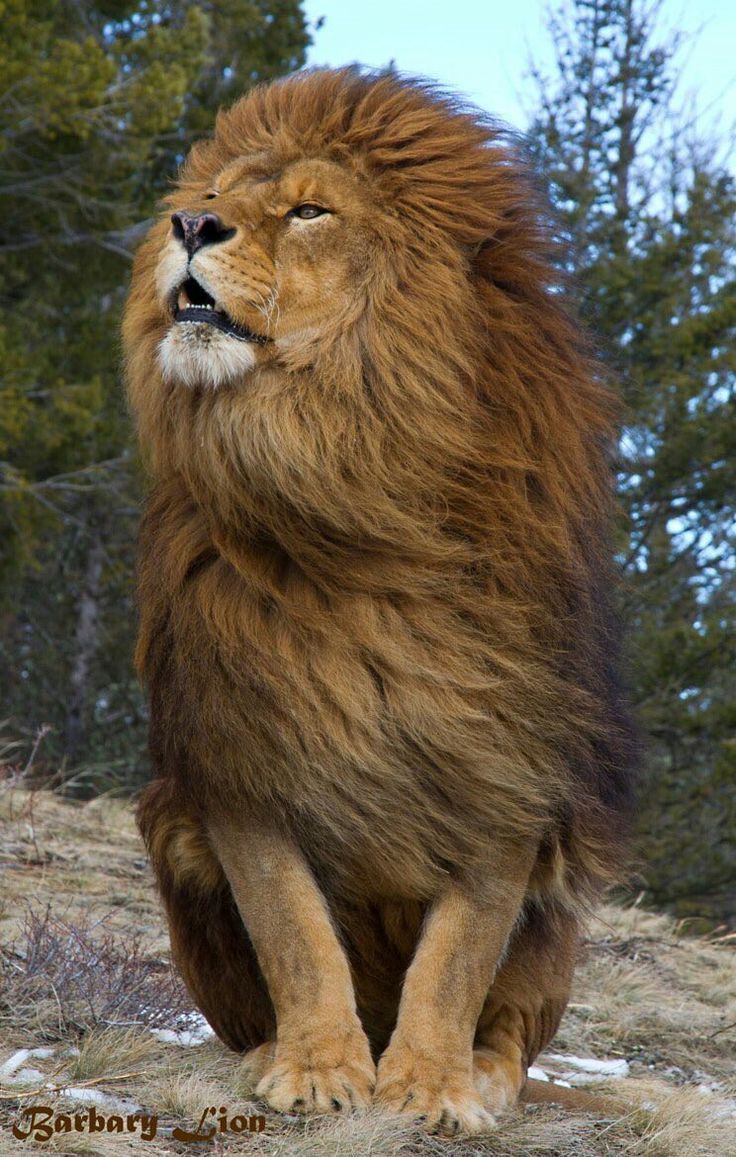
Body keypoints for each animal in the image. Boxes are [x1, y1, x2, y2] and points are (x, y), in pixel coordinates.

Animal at [123, 68, 636, 1135]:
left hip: (565, 892)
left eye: (309, 211)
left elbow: (458, 955)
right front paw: (320, 1070)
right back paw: (265, 1050)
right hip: (167, 820)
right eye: (217, 194)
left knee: (513, 1030)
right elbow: (294, 930)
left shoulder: (507, 765)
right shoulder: (237, 750)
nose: (187, 222)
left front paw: (430, 1088)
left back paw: (483, 1073)